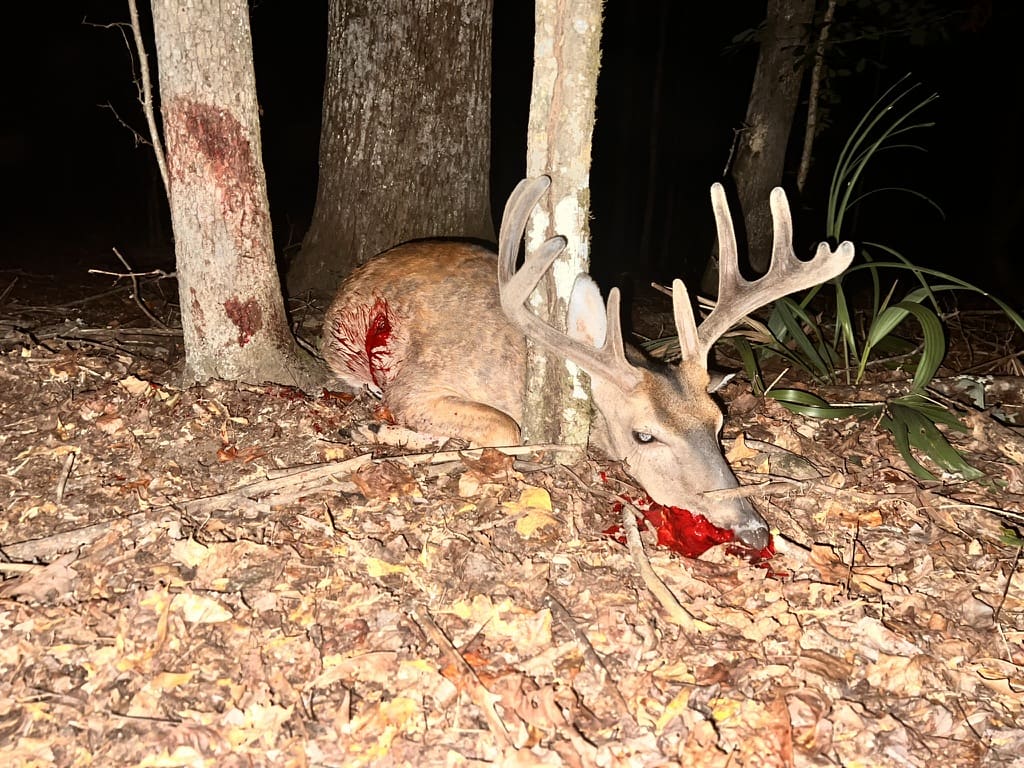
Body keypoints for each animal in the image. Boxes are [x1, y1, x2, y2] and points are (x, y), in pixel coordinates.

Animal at [322, 176, 855, 549]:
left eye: (718, 422)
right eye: (644, 436)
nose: (754, 531)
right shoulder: (419, 384)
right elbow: (505, 427)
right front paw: (389, 431)